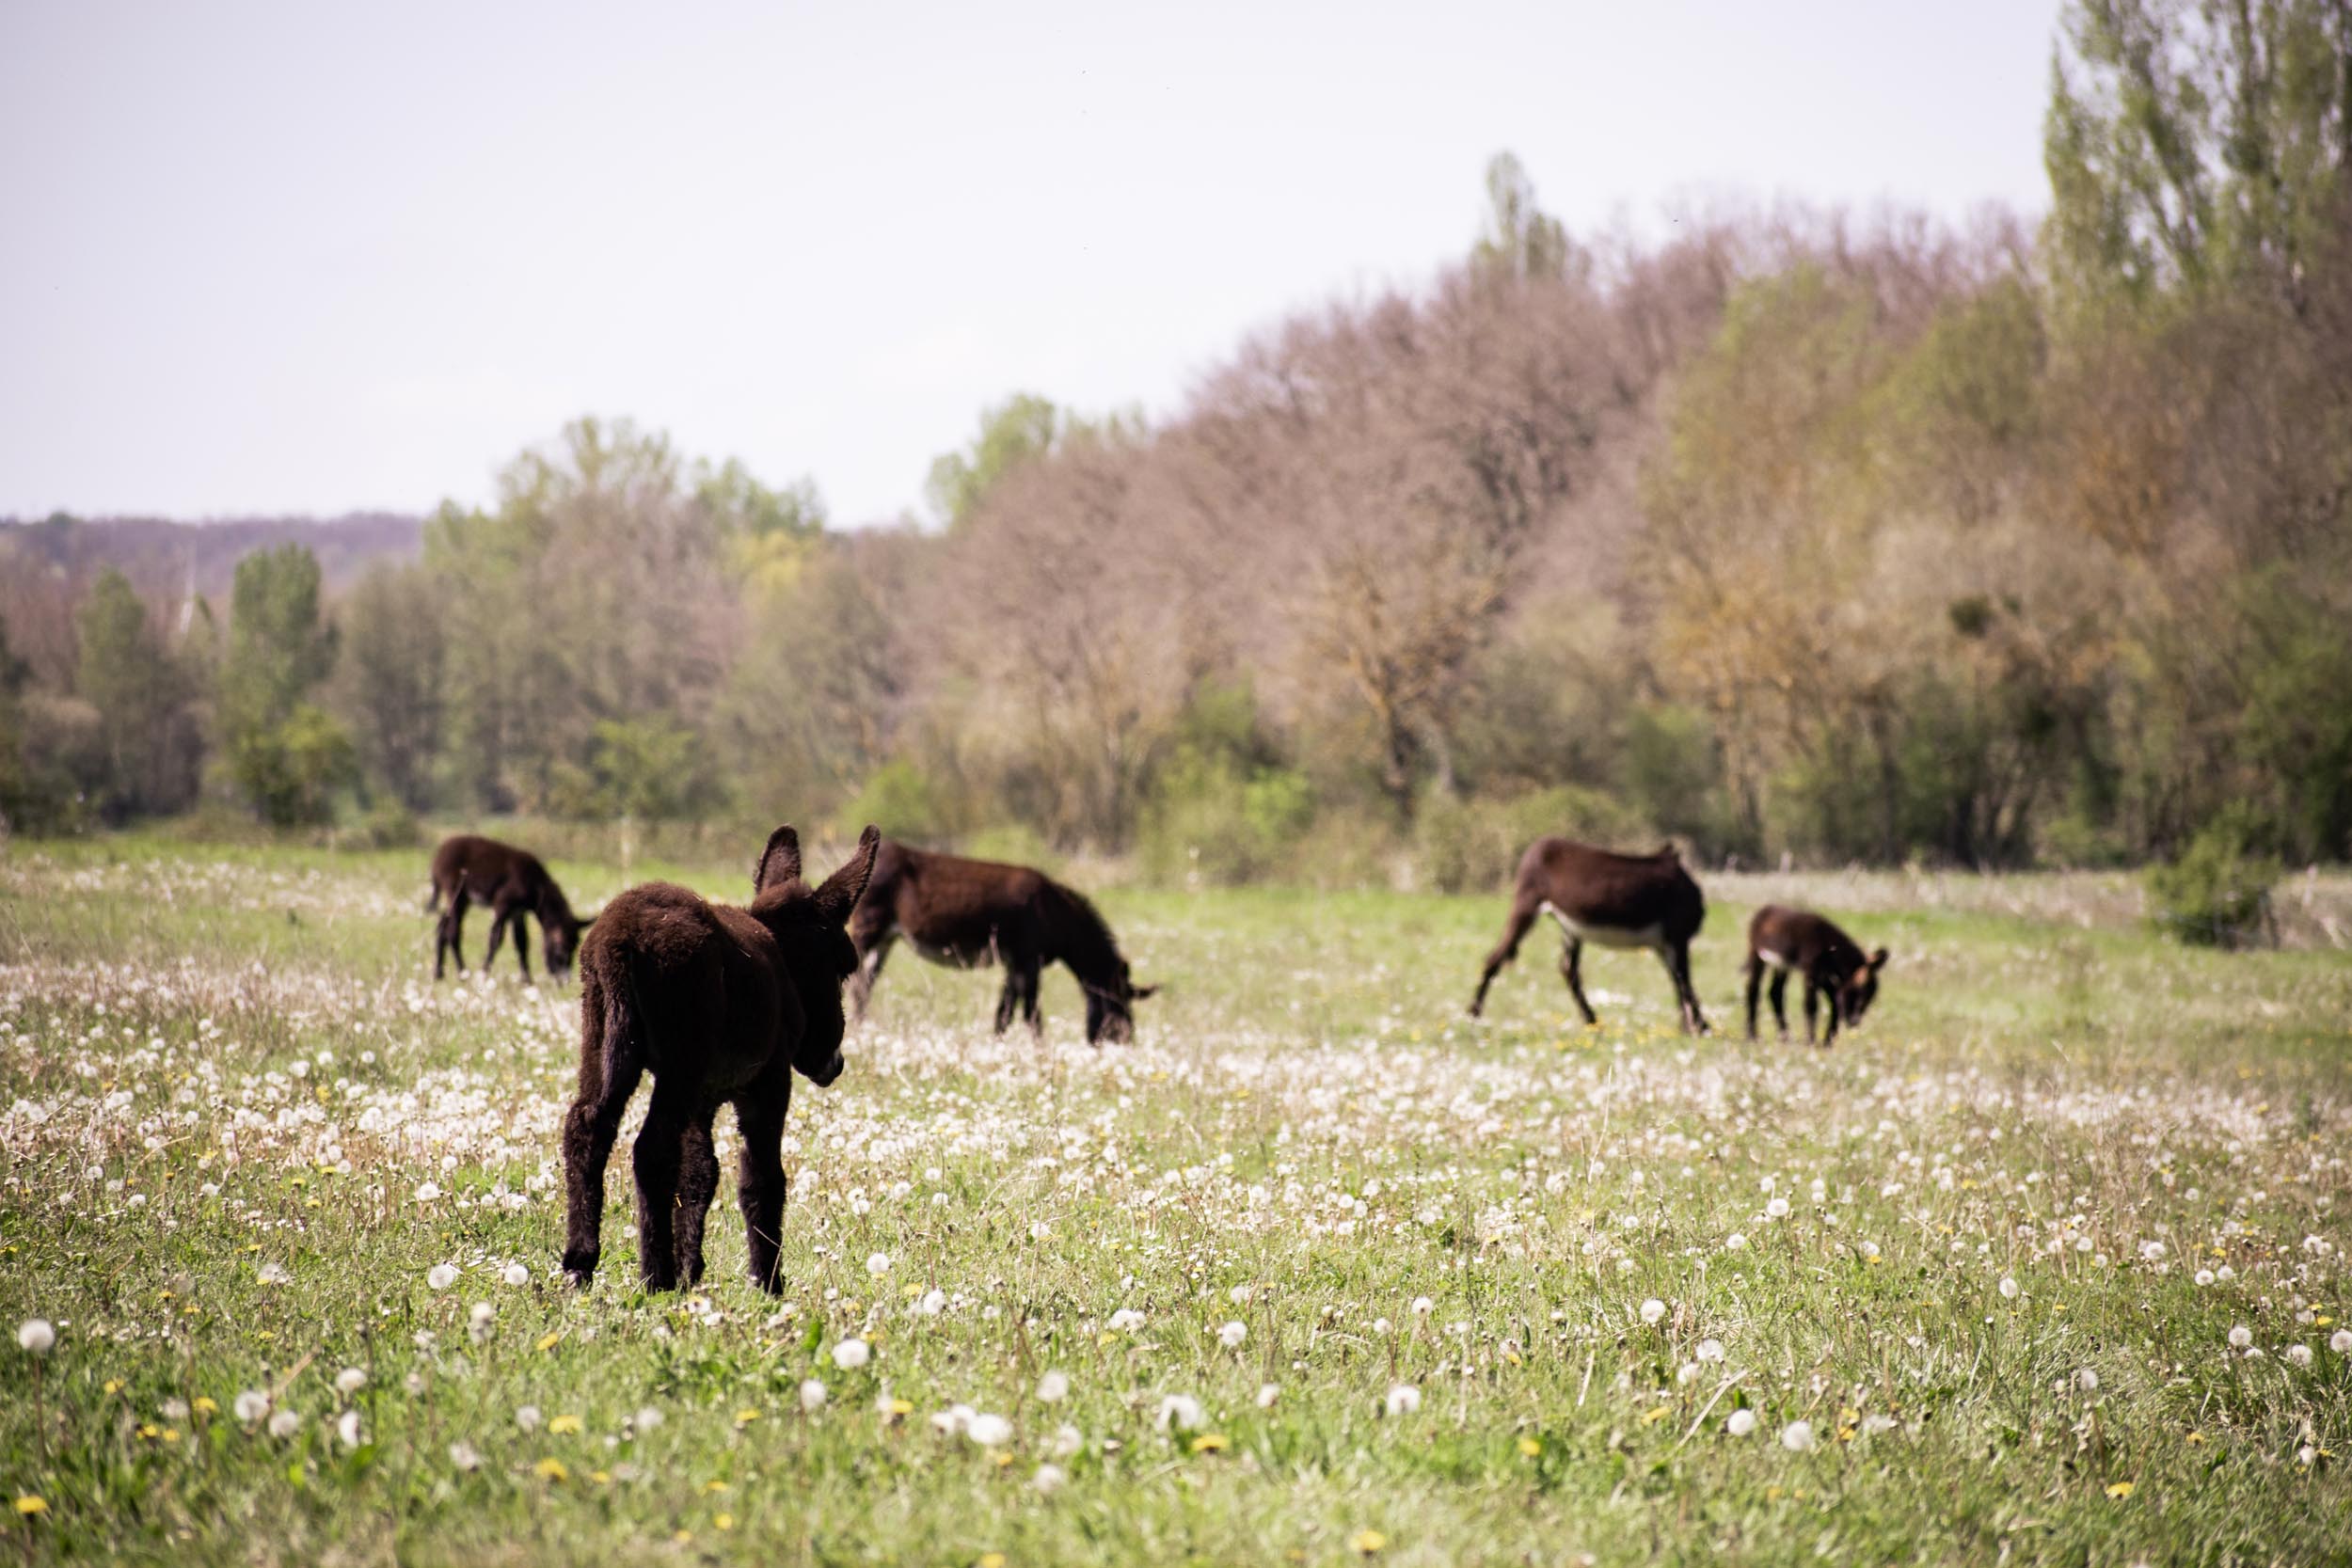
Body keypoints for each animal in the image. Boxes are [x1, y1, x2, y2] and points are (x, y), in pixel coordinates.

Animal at [564, 827, 880, 1297]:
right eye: (843, 967)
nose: (835, 1063)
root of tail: (620, 938)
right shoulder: (767, 1083)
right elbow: (761, 1178)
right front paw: (768, 1282)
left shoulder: (706, 1096)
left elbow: (700, 1174)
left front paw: (690, 1272)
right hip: (679, 1064)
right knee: (650, 1148)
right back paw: (654, 1276)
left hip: (604, 1042)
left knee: (587, 1129)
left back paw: (579, 1266)